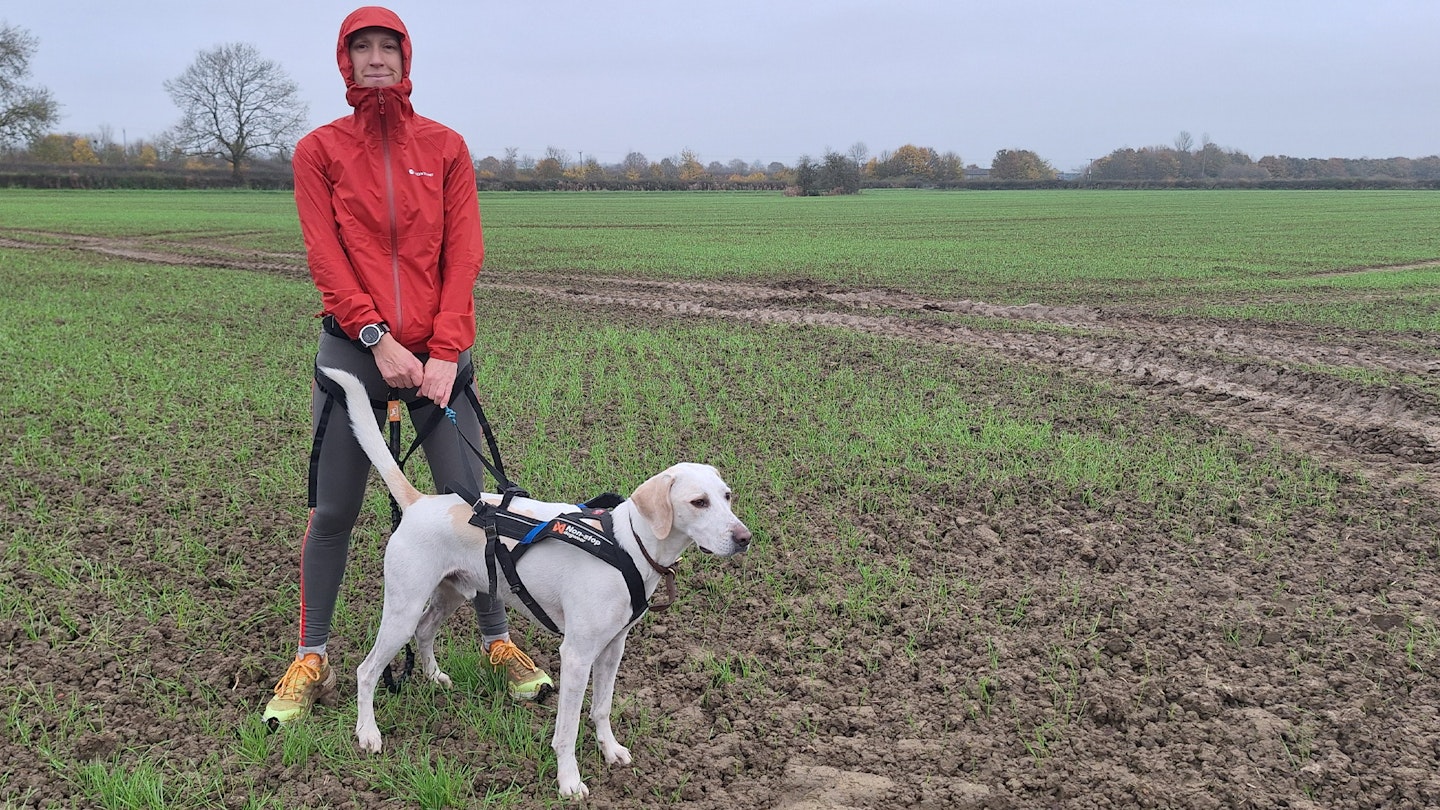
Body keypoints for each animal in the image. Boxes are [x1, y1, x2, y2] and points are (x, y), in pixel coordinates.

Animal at [321, 366, 754, 795]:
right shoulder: (576, 654)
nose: (744, 538)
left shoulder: (613, 647)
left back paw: (434, 677)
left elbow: (602, 707)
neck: (628, 545)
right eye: (698, 502)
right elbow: (568, 727)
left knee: (425, 632)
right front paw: (569, 780)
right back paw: (368, 733)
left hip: (452, 593)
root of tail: (418, 502)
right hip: (402, 609)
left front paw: (610, 749)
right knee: (367, 670)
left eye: (727, 496)